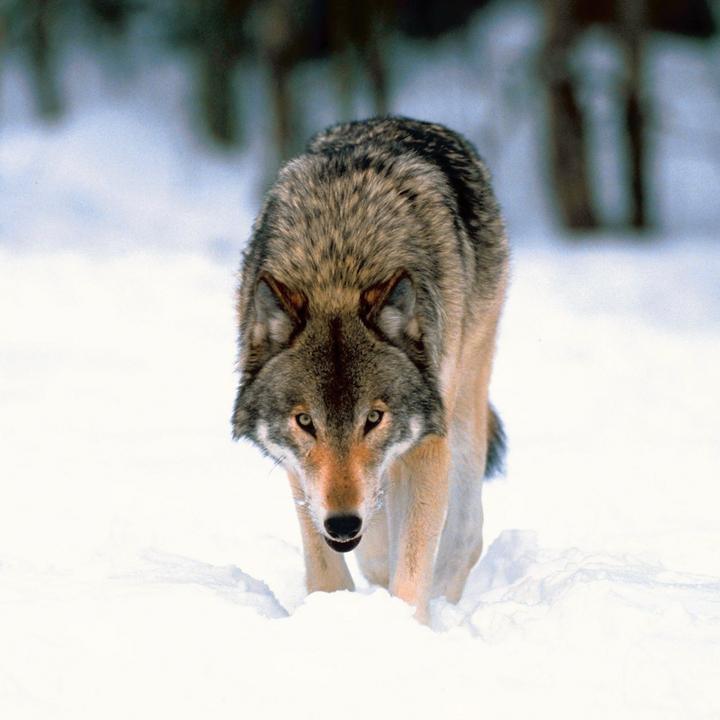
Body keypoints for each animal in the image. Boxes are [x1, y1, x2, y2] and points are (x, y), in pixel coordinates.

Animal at [232, 116, 509, 621]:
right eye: (306, 422)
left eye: (374, 418)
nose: (343, 523)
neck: (338, 262)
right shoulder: (301, 473)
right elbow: (328, 569)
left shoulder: (428, 441)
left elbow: (411, 568)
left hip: (465, 398)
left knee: (465, 533)